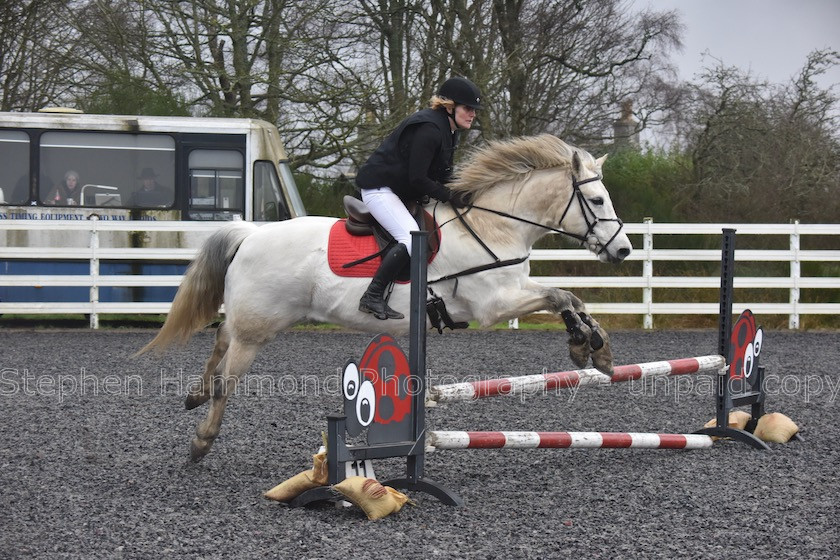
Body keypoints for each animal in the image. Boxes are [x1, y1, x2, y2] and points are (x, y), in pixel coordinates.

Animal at [139, 133, 632, 462]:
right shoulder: (495, 304)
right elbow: (560, 296)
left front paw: (597, 349)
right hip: (258, 328)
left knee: (220, 339)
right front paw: (584, 345)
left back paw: (195, 396)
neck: (495, 225)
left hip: (251, 318)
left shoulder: (513, 292)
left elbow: (570, 299)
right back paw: (202, 439)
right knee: (229, 377)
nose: (624, 250)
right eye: (596, 200)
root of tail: (251, 233)